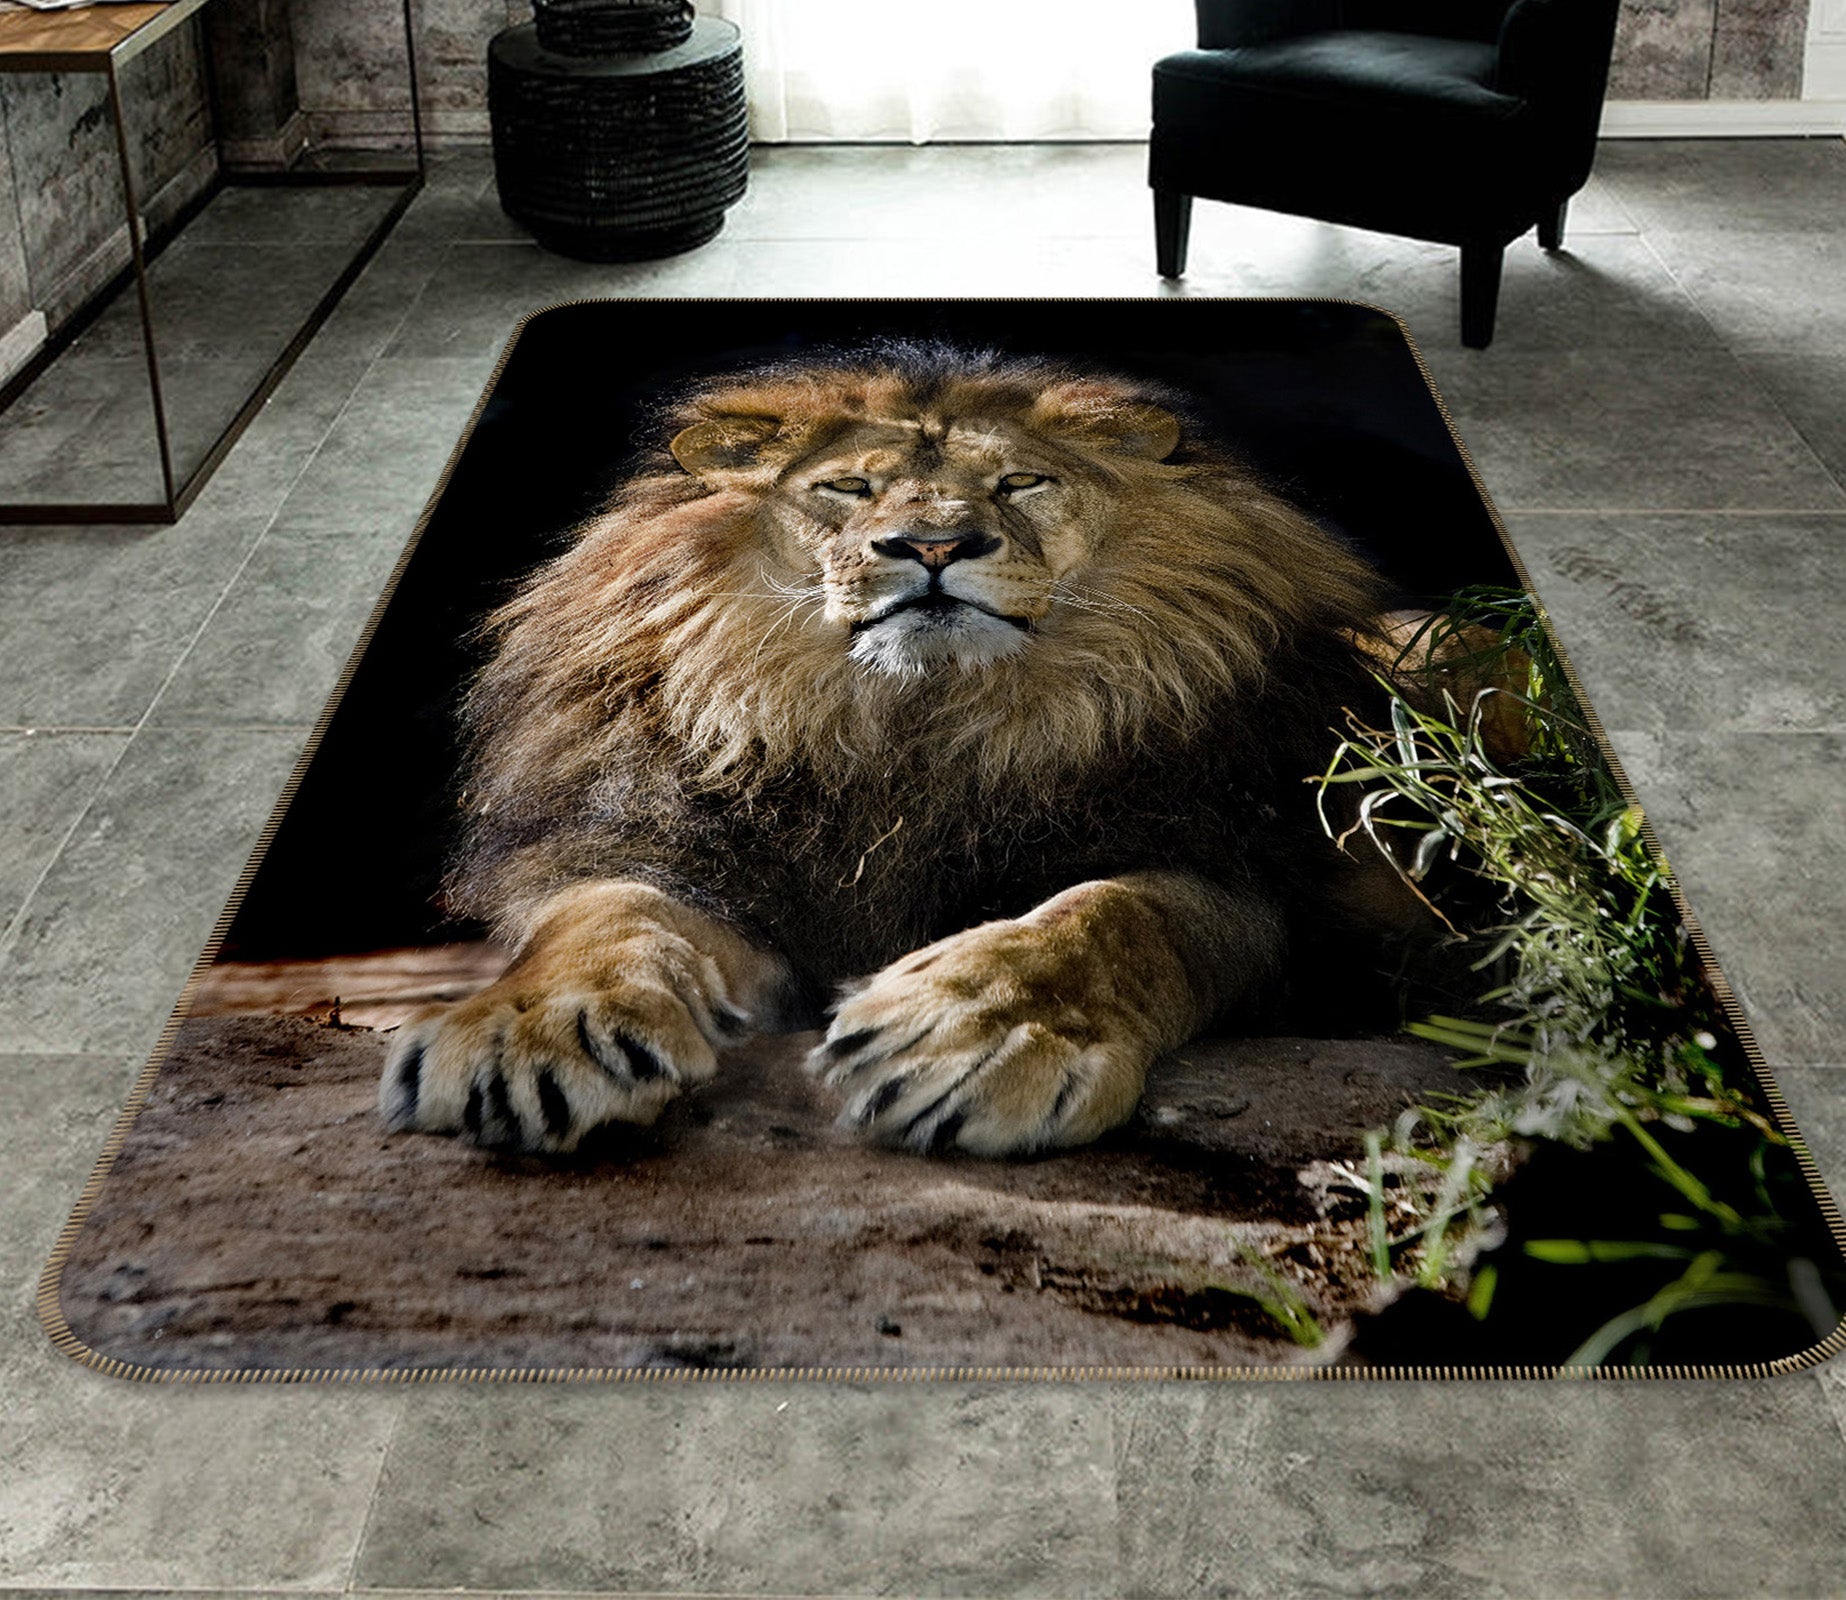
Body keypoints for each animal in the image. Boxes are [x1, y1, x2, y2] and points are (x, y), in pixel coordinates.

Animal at [379, 342, 1399, 1159]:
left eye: (1019, 485)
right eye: (849, 489)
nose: (935, 545)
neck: (913, 730)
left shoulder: (1239, 875)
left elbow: (1110, 917)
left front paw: (973, 1031)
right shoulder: (684, 857)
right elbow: (605, 914)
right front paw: (529, 1029)